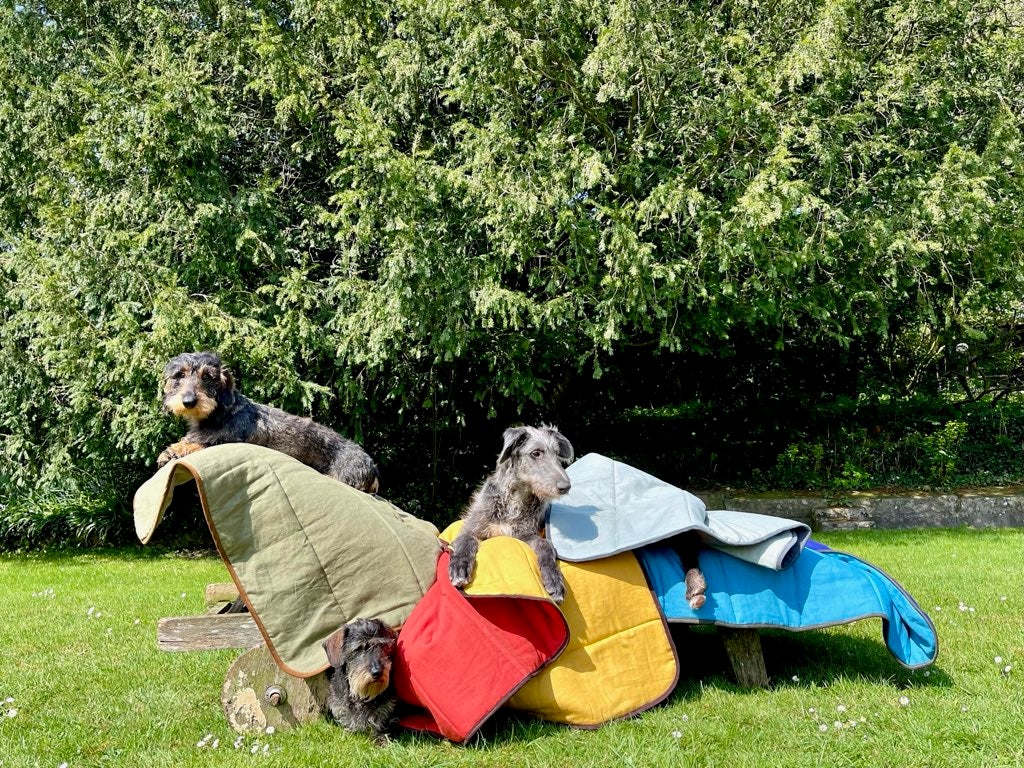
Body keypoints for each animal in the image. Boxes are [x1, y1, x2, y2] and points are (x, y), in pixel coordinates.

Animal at [157, 348, 382, 493]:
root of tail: (372, 466)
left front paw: (176, 450)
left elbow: (202, 443)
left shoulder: (227, 440)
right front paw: (173, 449)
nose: (189, 401)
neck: (220, 413)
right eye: (179, 375)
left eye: (207, 376)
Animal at [448, 423, 577, 606]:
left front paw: (554, 580)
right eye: (536, 453)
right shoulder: (473, 528)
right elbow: (466, 540)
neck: (515, 499)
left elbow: (545, 545)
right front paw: (460, 566)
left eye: (557, 453)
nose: (565, 487)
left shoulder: (524, 534)